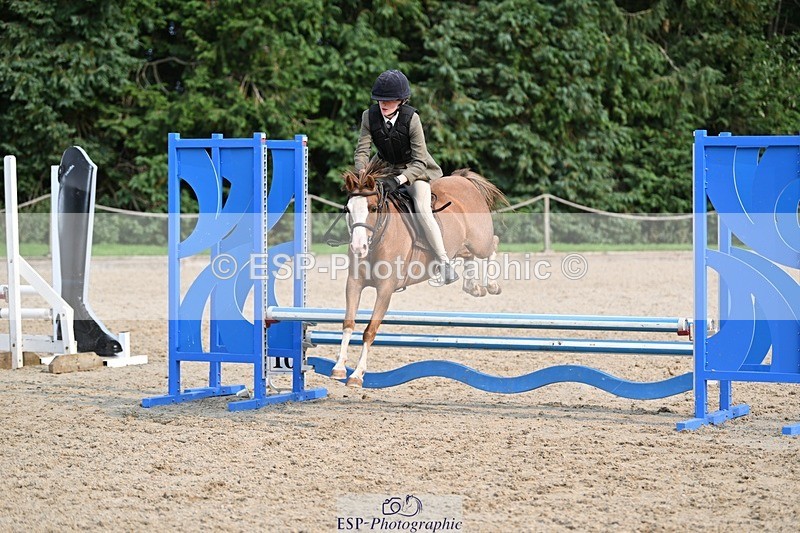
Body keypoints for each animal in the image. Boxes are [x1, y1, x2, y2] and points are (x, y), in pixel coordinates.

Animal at [332, 159, 509, 386]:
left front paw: (357, 374)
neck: (378, 239)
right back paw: (473, 287)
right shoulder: (354, 284)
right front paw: (339, 367)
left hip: (480, 240)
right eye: (348, 209)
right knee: (467, 255)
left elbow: (370, 330)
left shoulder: (385, 289)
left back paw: (491, 285)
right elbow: (348, 323)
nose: (358, 248)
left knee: (492, 244)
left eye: (372, 208)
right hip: (462, 245)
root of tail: (463, 180)